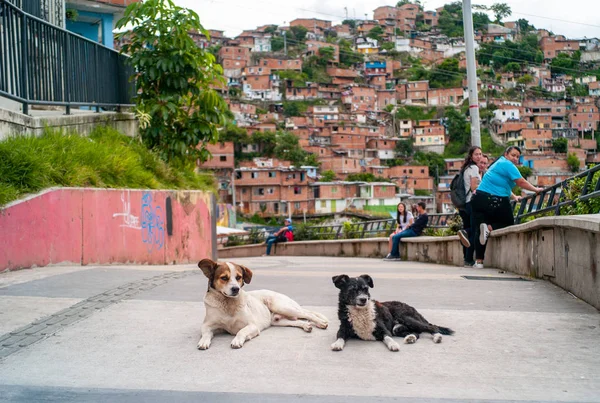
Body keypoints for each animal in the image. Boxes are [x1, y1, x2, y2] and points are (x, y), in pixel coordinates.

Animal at [197, 258, 328, 350]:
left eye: (239, 277)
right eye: (224, 278)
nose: (236, 289)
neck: (228, 303)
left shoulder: (253, 325)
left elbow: (241, 331)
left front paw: (237, 340)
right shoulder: (207, 325)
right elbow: (206, 333)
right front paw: (203, 341)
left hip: (281, 307)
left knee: (308, 314)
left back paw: (321, 323)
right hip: (277, 320)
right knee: (297, 321)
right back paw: (306, 326)